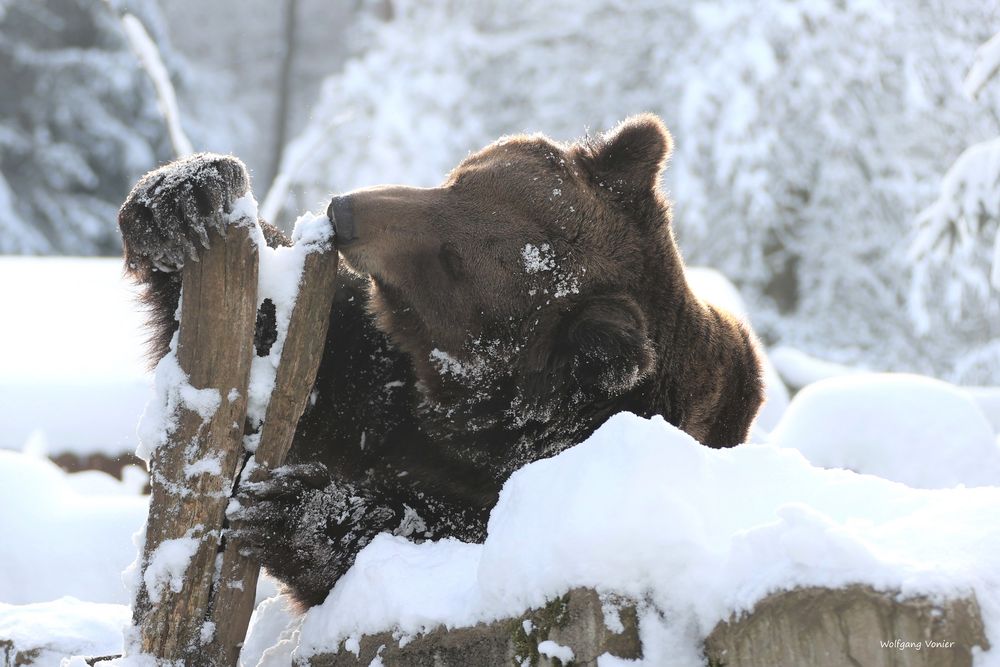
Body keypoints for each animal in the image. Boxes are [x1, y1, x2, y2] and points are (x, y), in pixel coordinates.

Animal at [117, 115, 760, 612]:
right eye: (460, 181)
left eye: (455, 261)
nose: (346, 211)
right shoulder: (384, 382)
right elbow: (294, 354)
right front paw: (183, 196)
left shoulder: (509, 473)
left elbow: (434, 528)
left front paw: (292, 508)